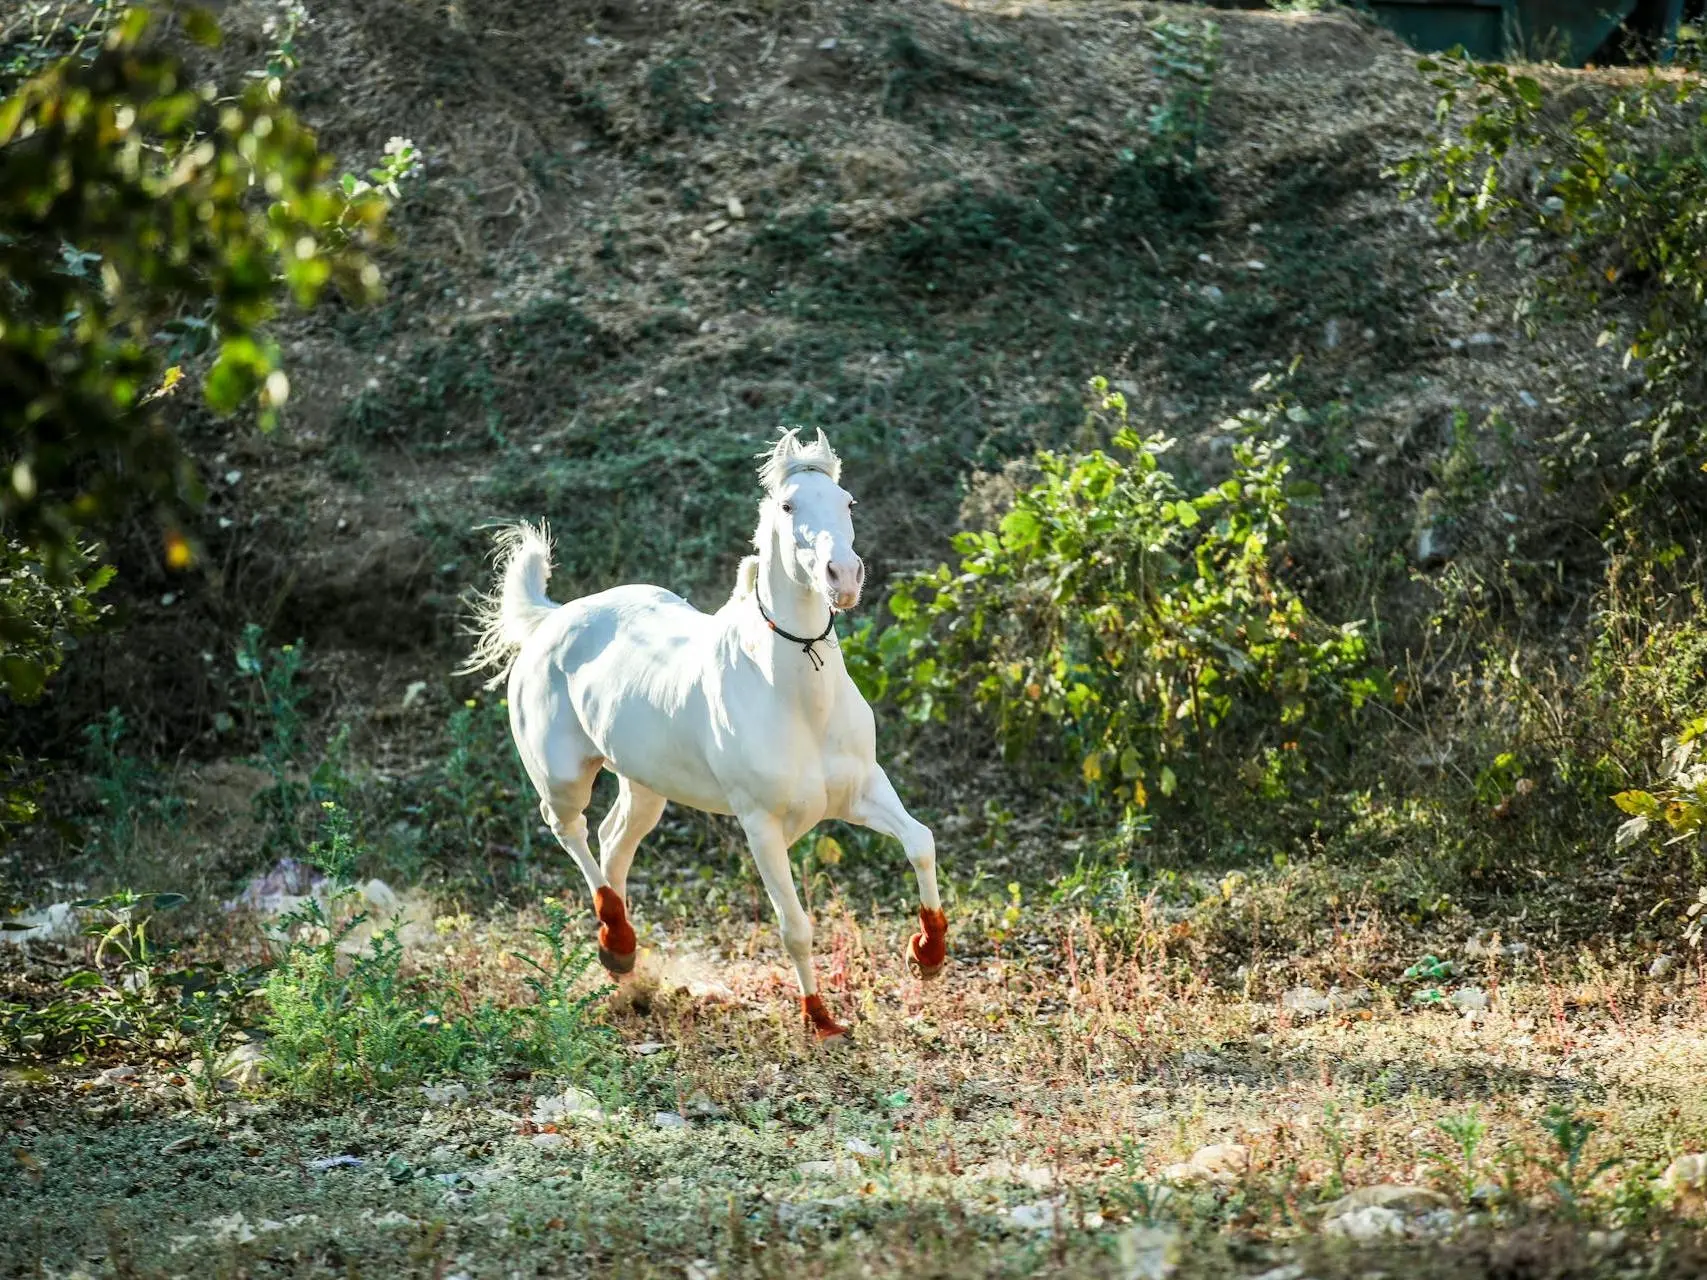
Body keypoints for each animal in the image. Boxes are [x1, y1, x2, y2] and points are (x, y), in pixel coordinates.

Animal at [464, 431, 949, 1044]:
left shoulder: (862, 790)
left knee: (613, 840)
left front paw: (927, 954)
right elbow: (795, 926)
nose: (843, 576)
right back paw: (615, 938)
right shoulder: (762, 826)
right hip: (563, 777)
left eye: (848, 502)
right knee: (569, 829)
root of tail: (551, 619)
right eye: (788, 506)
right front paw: (821, 1020)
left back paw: (620, 954)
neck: (795, 698)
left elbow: (920, 842)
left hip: (645, 786)